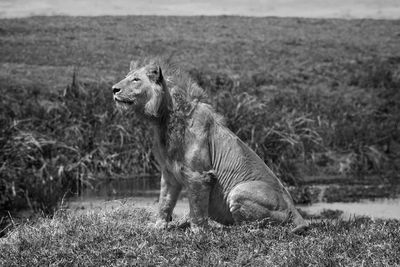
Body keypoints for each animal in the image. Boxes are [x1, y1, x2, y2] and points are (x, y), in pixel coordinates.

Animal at [112, 58, 310, 234]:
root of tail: (296, 211)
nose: (114, 89)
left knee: (261, 225)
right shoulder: (169, 173)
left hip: (238, 191)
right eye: (127, 76)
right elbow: (164, 203)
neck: (164, 121)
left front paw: (198, 231)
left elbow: (197, 208)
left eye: (135, 79)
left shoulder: (199, 175)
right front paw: (158, 226)